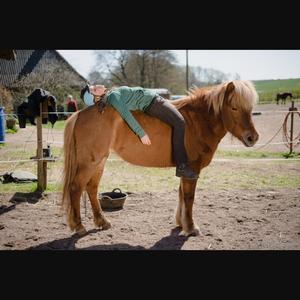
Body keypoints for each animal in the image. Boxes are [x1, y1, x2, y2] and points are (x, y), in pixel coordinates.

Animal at [61, 79, 258, 237]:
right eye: (234, 107)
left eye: (250, 109)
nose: (253, 138)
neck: (198, 121)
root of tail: (79, 114)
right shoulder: (192, 169)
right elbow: (189, 197)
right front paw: (191, 227)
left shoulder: (184, 169)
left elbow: (181, 194)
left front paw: (180, 223)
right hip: (89, 163)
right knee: (76, 188)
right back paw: (79, 226)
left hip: (99, 162)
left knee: (91, 189)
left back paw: (102, 222)